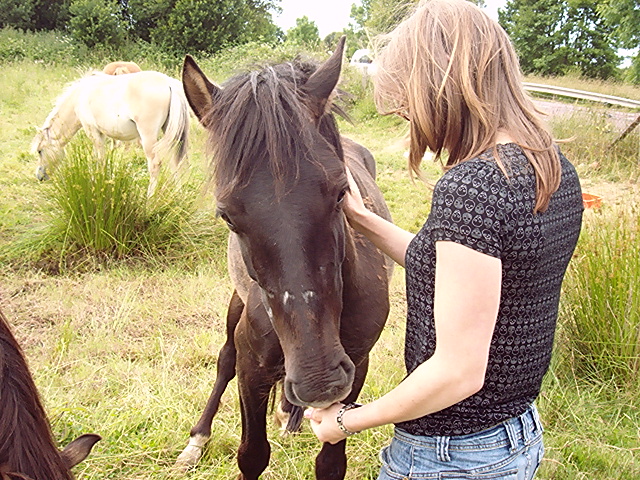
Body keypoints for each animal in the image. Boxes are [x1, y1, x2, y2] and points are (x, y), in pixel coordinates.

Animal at [32, 69, 189, 195]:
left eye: (40, 151)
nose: (39, 176)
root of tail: (168, 83)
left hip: (148, 137)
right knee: (176, 162)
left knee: (155, 164)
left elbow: (100, 160)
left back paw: (149, 199)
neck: (80, 96)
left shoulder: (93, 133)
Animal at [176, 37, 396, 480]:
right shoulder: (252, 368)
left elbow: (331, 463)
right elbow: (252, 454)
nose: (319, 380)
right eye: (227, 214)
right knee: (224, 360)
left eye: (341, 192)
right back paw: (198, 438)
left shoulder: (356, 367)